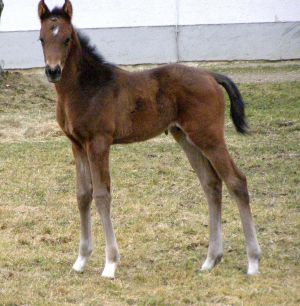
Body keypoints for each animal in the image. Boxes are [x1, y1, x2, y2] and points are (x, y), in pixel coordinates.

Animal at [38, 0, 262, 278]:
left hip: (209, 137)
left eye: (67, 38)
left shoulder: (99, 143)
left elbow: (102, 195)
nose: (53, 71)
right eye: (41, 39)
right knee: (211, 184)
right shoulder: (77, 144)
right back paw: (211, 259)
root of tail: (211, 75)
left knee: (236, 181)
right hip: (186, 137)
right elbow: (82, 195)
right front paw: (80, 260)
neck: (85, 88)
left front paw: (110, 264)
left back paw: (253, 261)